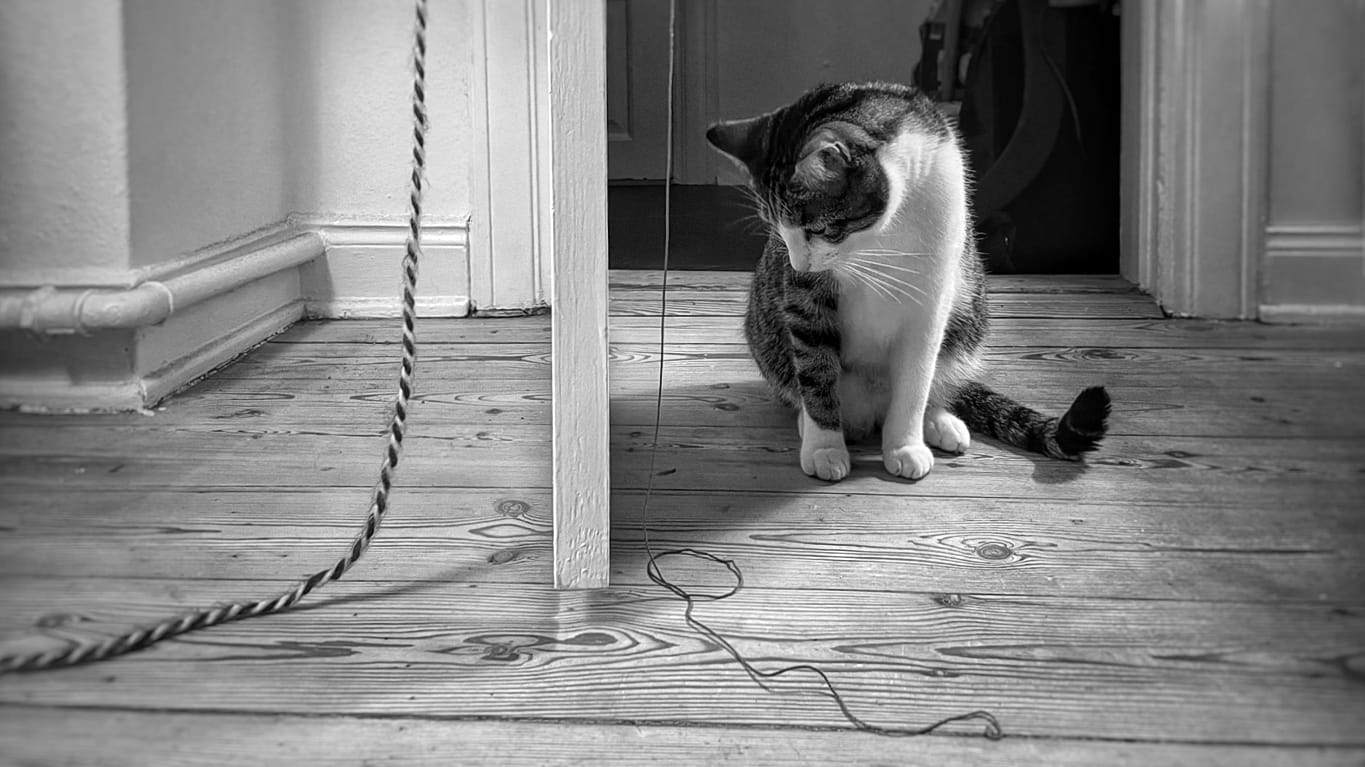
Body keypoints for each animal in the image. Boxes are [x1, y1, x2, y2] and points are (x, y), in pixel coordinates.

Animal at [704, 80, 1108, 480]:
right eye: (778, 230)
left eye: (818, 229)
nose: (800, 263)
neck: (881, 236)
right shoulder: (806, 299)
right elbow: (815, 369)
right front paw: (824, 448)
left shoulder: (931, 297)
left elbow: (916, 381)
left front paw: (905, 445)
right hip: (769, 336)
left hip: (967, 317)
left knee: (934, 379)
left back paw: (939, 421)